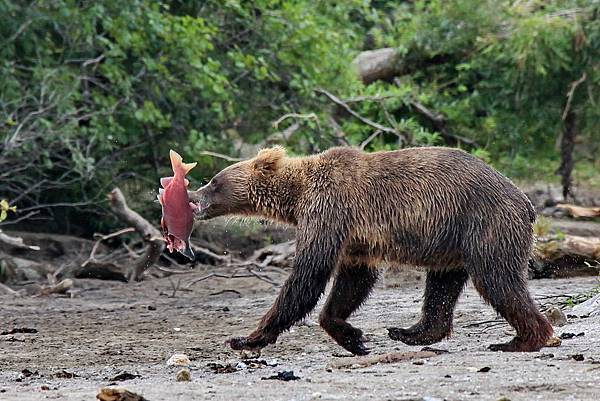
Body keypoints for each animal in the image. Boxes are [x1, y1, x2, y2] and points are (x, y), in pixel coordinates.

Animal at [188, 145, 552, 354]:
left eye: (214, 181)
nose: (193, 197)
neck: (297, 195)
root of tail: (526, 201)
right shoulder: (355, 240)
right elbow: (353, 281)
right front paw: (354, 337)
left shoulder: (330, 209)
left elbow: (309, 275)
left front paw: (247, 338)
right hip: (451, 240)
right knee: (442, 286)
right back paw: (408, 331)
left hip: (485, 223)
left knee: (498, 280)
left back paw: (519, 340)